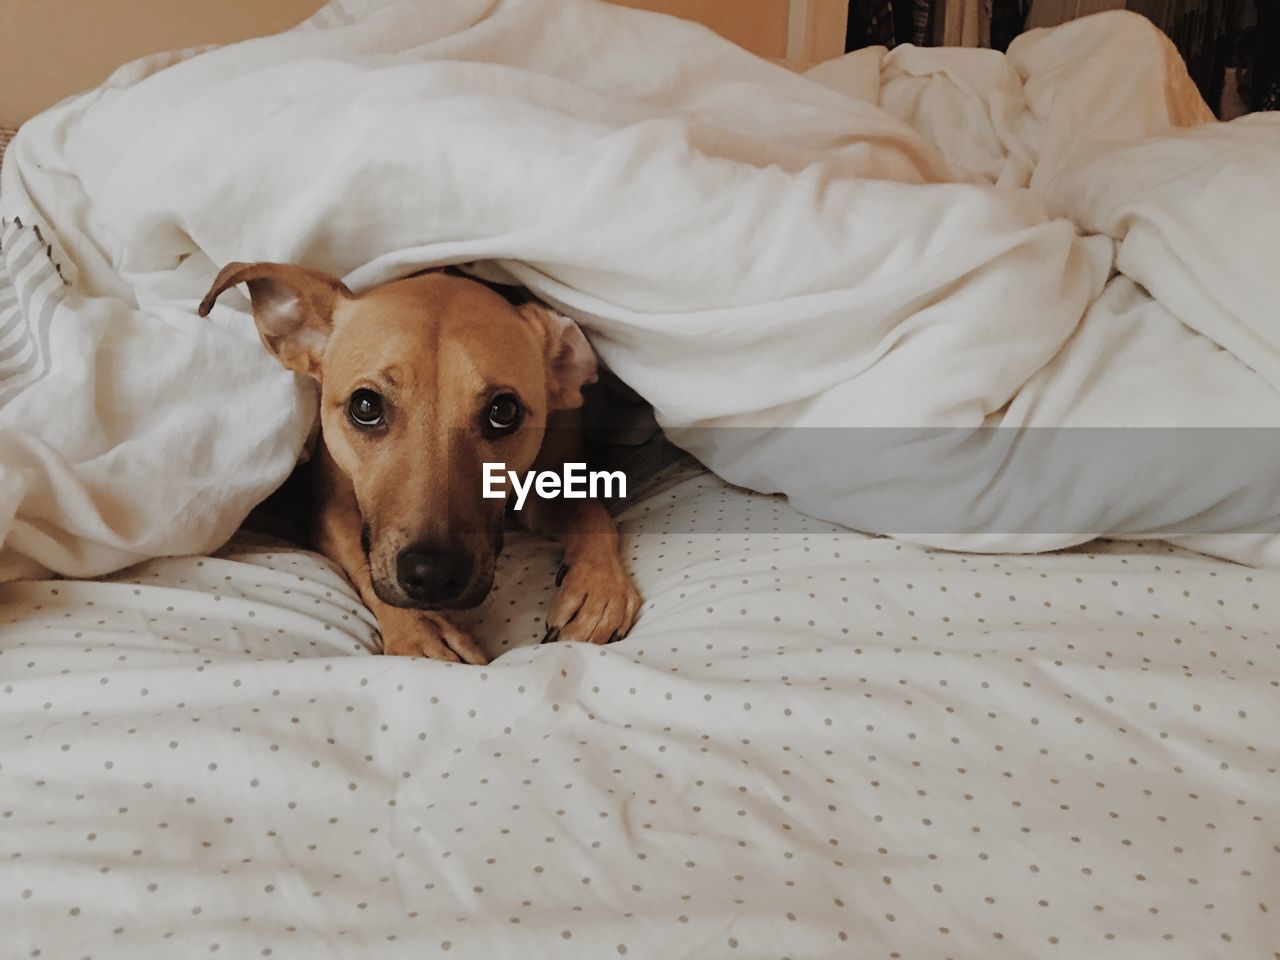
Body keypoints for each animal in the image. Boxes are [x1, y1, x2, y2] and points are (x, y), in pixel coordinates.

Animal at [199, 263, 640, 670]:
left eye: (504, 411)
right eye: (365, 405)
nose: (434, 574)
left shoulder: (544, 491)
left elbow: (591, 510)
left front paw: (599, 587)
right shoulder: (331, 510)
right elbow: (363, 561)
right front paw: (420, 629)